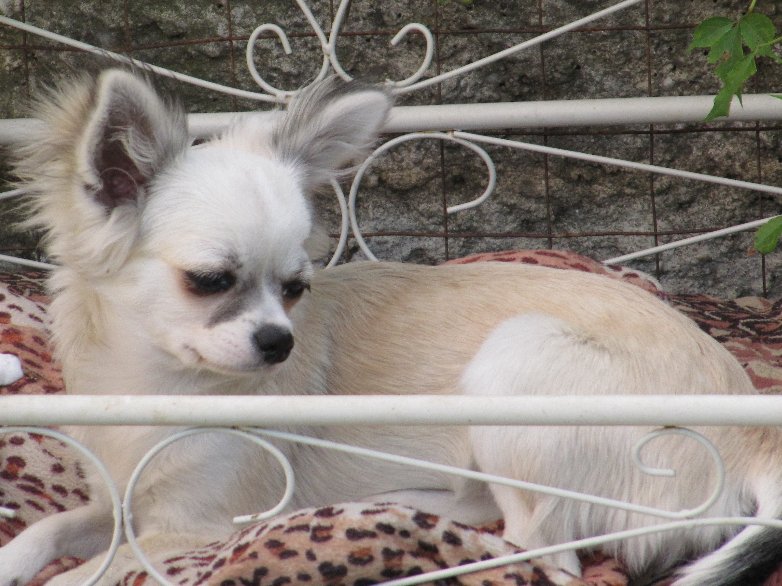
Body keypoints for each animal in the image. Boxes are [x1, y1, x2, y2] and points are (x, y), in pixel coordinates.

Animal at [0, 68, 779, 585]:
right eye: (211, 281)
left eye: (296, 289)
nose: (279, 342)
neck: (160, 384)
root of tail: (753, 436)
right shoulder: (118, 501)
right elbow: (49, 530)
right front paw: (17, 555)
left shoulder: (189, 528)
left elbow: (84, 574)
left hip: (516, 361)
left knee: (540, 551)